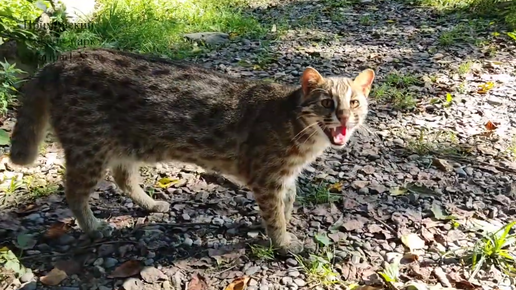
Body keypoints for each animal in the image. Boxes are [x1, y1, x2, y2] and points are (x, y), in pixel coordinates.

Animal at [10, 48, 374, 256]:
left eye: (354, 102)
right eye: (326, 103)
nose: (344, 116)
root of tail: (62, 59)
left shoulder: (285, 178)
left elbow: (287, 204)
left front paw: (285, 228)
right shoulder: (267, 178)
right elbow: (274, 215)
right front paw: (283, 243)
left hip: (125, 144)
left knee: (122, 177)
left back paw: (149, 203)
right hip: (90, 146)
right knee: (73, 191)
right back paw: (93, 226)